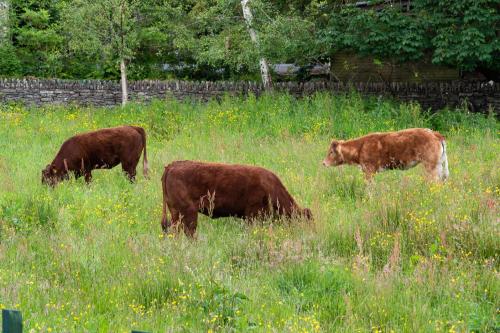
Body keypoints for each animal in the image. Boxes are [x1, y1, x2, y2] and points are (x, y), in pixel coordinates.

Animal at [322, 127, 452, 180]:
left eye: (331, 152)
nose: (323, 163)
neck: (360, 147)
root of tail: (434, 133)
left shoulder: (369, 170)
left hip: (431, 166)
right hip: (439, 165)